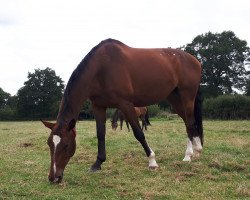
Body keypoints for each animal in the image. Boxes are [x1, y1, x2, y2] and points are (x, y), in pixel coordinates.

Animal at [41, 38, 203, 184]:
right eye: (49, 144)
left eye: (66, 145)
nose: (53, 178)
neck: (101, 68)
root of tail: (195, 60)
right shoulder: (98, 106)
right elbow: (100, 134)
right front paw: (98, 163)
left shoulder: (125, 104)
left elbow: (139, 133)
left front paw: (152, 161)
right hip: (175, 98)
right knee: (189, 123)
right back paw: (197, 150)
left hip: (187, 97)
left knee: (189, 123)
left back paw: (188, 155)